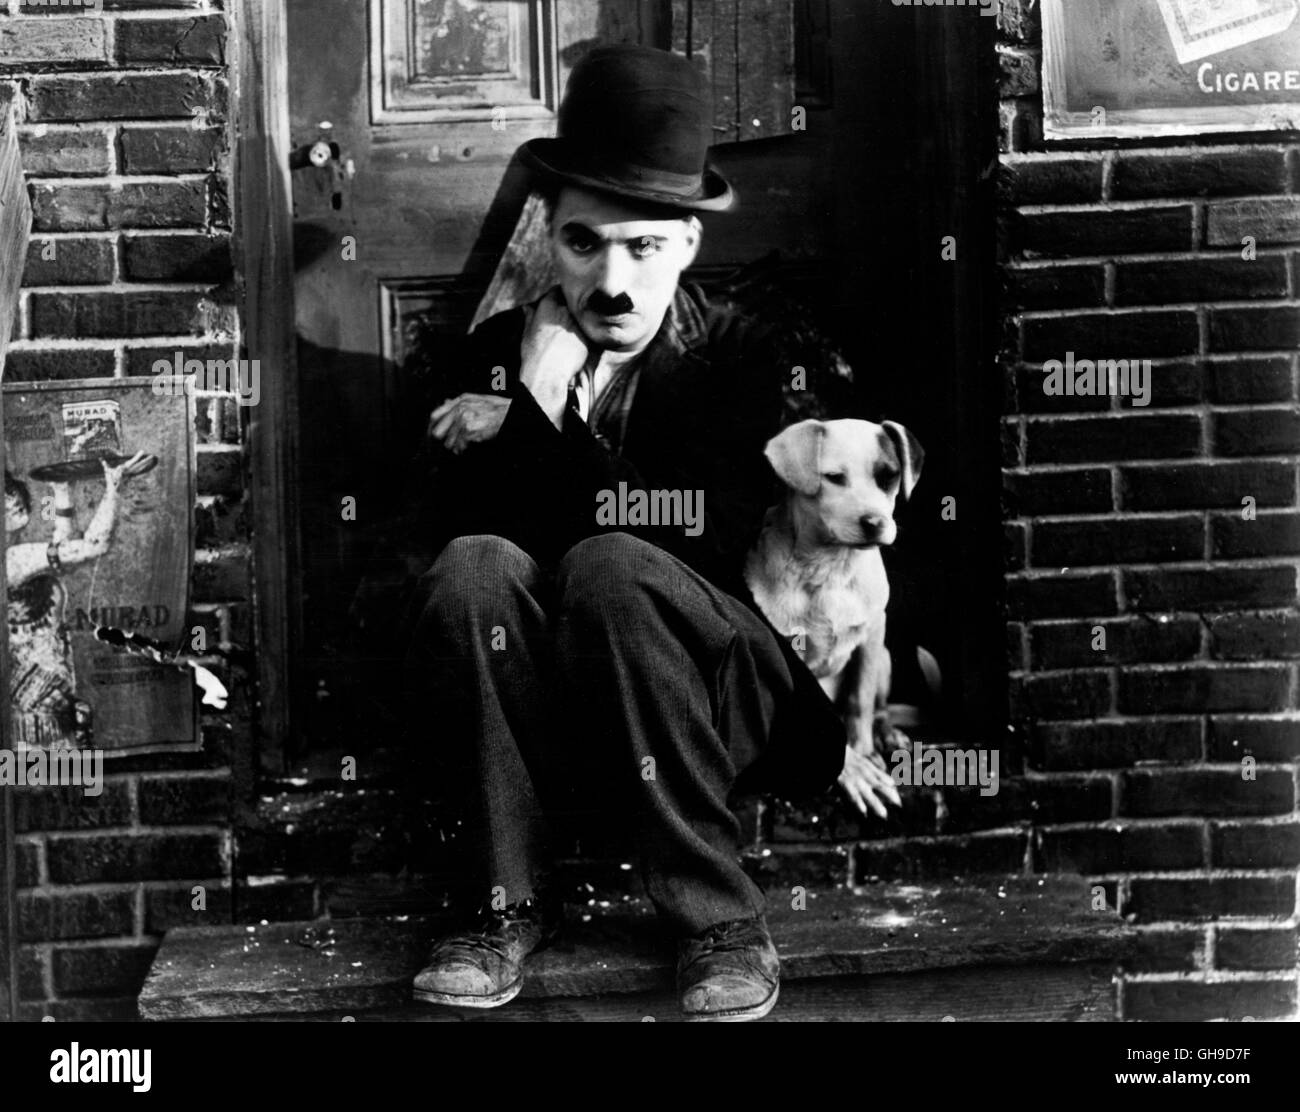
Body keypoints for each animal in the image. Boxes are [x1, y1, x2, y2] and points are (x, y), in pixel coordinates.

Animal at [743, 421, 925, 811]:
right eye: (834, 478)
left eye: (888, 476)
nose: (875, 522)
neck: (832, 567)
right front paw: (851, 768)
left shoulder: (872, 637)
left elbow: (860, 701)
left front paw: (864, 750)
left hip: (885, 657)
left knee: (879, 708)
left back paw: (888, 734)